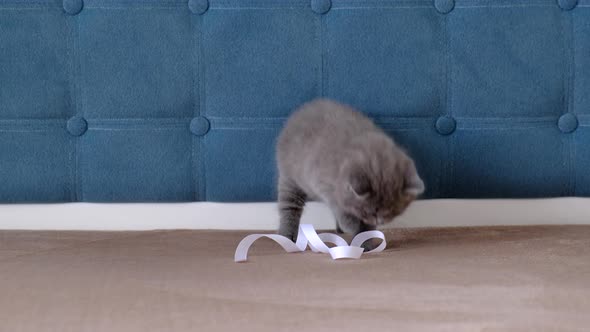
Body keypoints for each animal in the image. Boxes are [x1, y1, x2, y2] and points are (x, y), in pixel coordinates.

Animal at [278, 98, 426, 252]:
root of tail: (305, 108)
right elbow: (341, 209)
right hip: (289, 177)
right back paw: (288, 236)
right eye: (368, 211)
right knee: (289, 207)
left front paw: (366, 239)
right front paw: (355, 227)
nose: (379, 220)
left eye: (392, 212)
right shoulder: (322, 183)